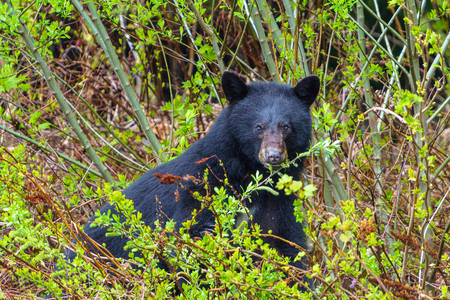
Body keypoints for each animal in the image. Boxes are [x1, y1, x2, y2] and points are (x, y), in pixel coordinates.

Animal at [79, 71, 318, 290]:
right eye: (258, 127)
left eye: (286, 126)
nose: (274, 156)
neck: (249, 175)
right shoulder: (201, 189)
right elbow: (187, 246)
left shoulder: (279, 203)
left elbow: (284, 247)